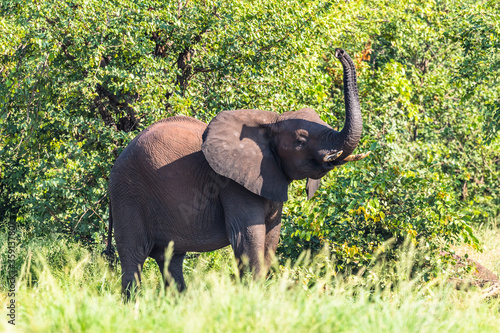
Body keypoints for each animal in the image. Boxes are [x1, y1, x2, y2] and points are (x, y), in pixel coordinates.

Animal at [103, 48, 370, 296]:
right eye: (301, 140)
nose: (339, 51)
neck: (270, 121)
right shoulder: (233, 185)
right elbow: (248, 239)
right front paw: (252, 296)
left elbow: (271, 239)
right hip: (128, 194)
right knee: (134, 257)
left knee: (171, 258)